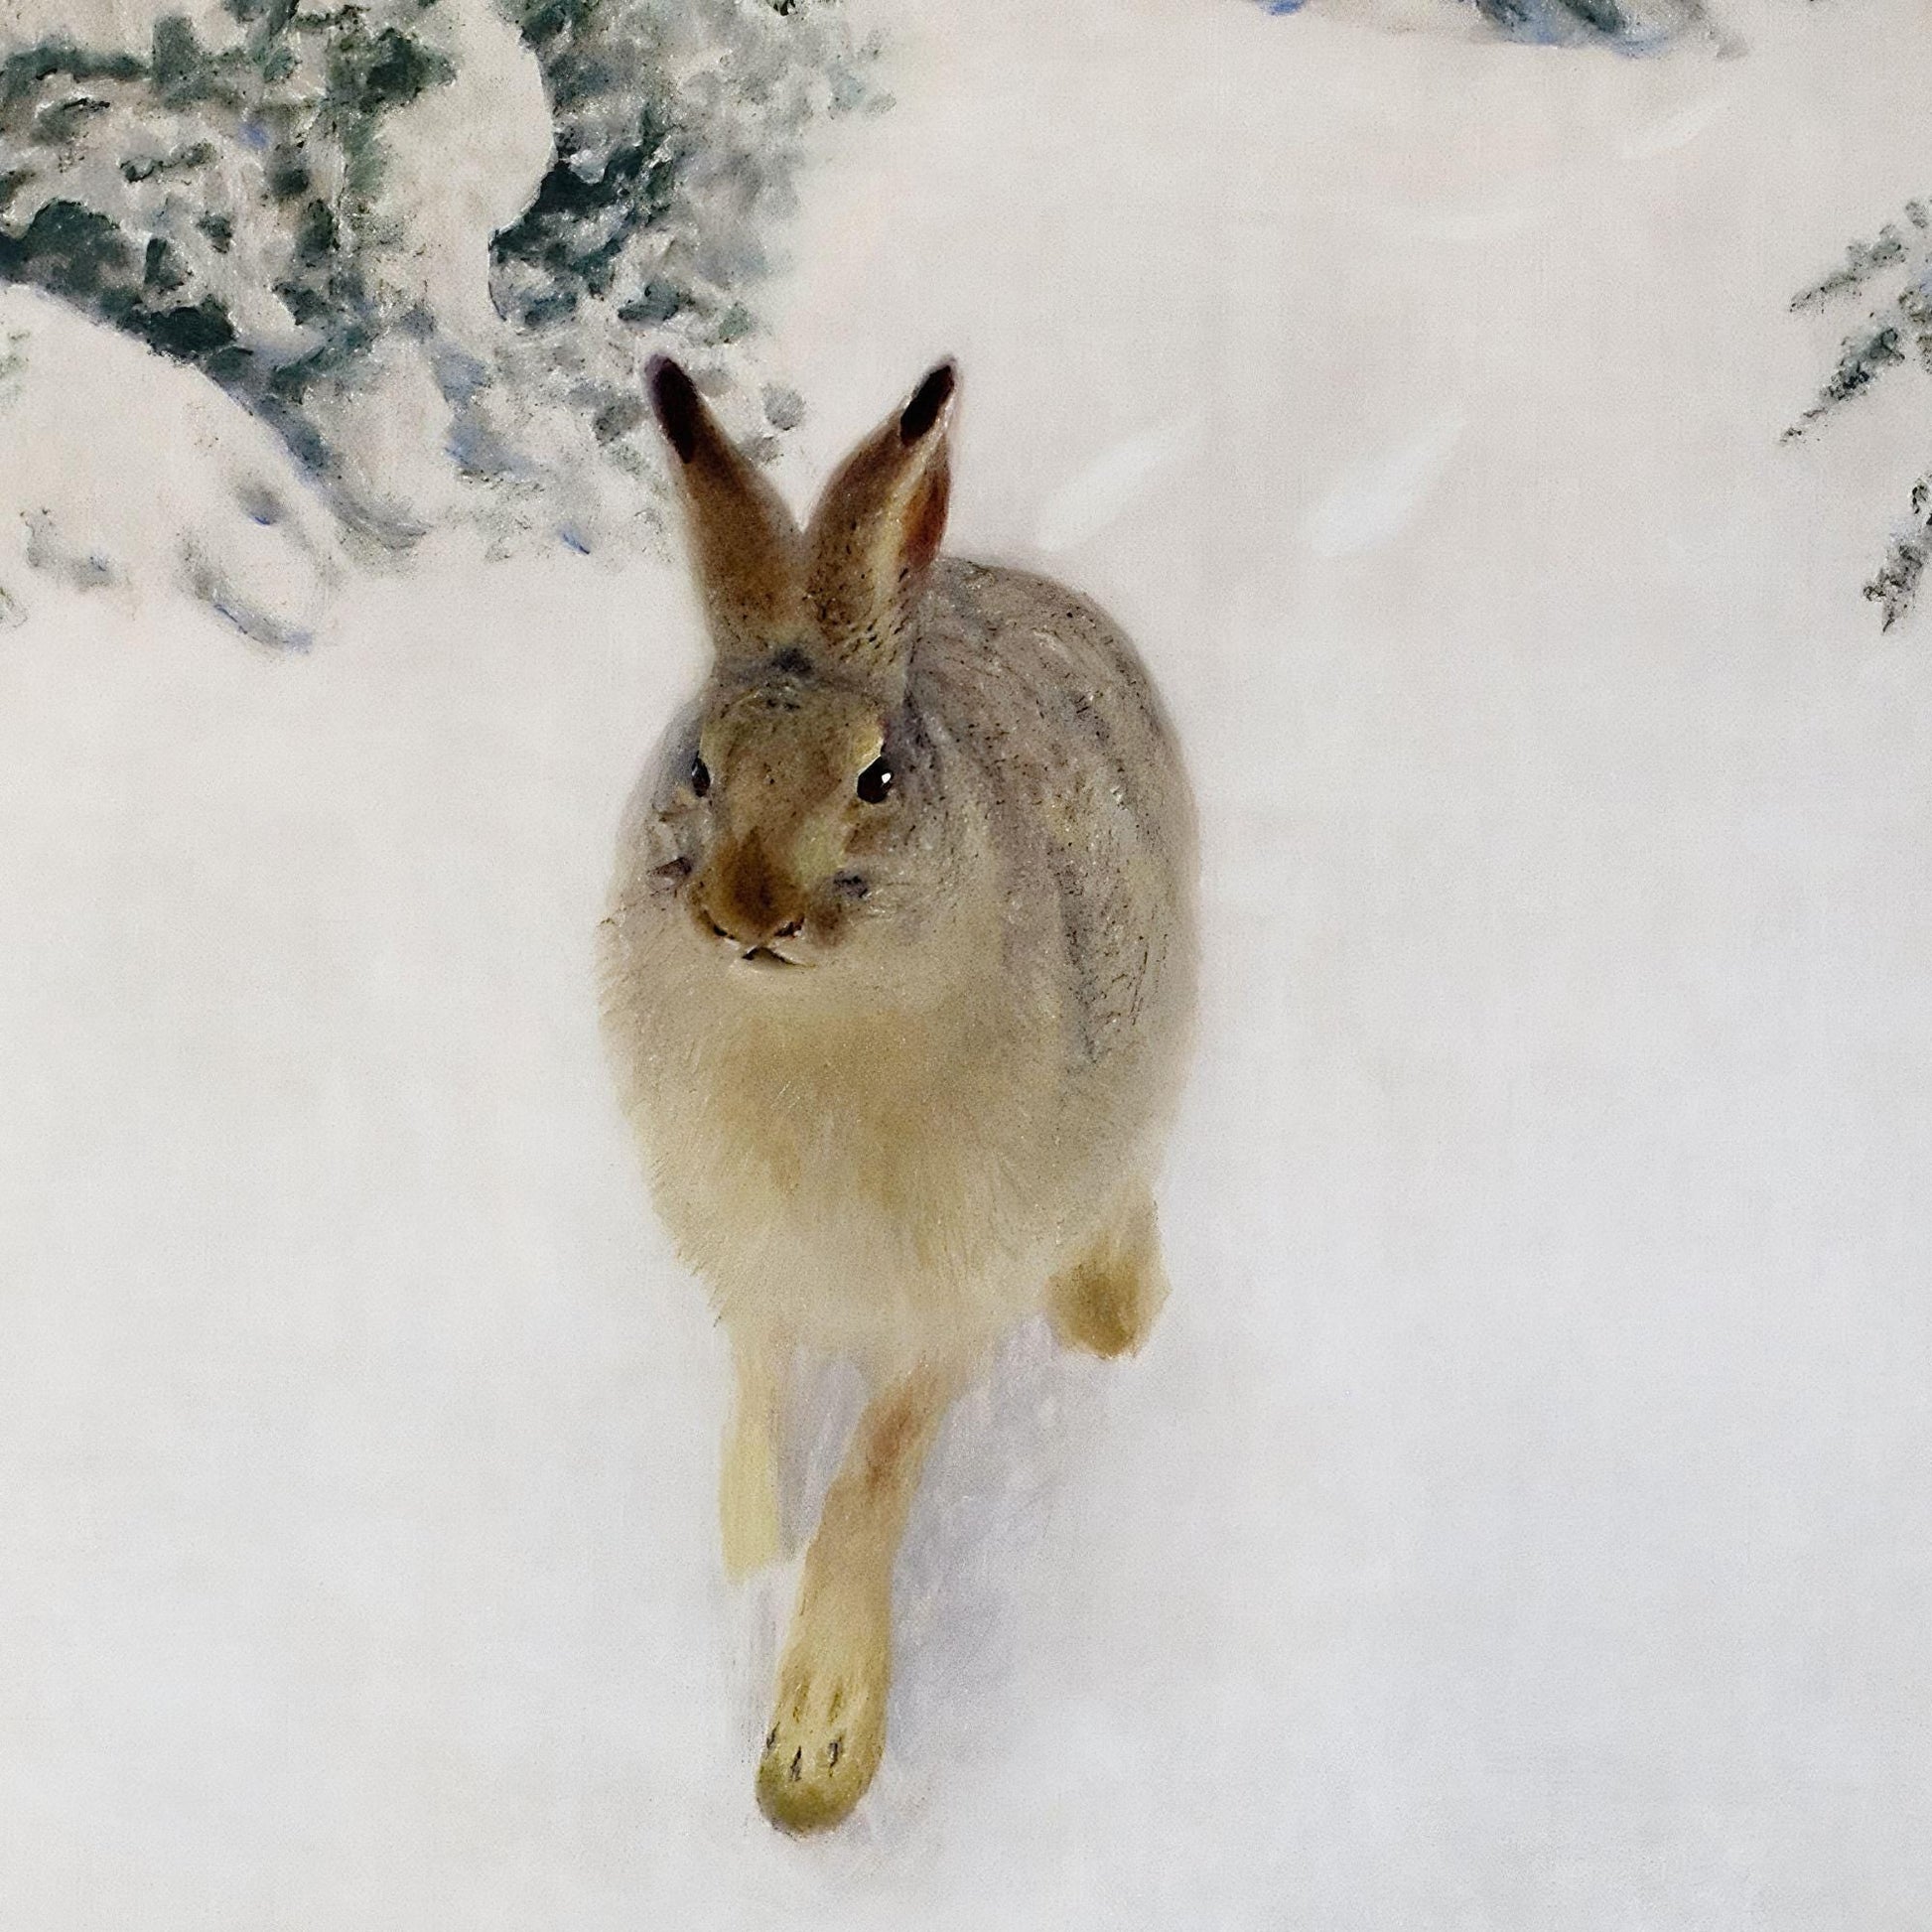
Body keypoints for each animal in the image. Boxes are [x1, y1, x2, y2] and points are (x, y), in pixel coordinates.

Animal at [597, 355, 1199, 1834]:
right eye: (697, 766)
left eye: (875, 776)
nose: (749, 907)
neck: (813, 1034)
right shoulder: (756, 1272)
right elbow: (758, 1420)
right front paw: (745, 1580)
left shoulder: (951, 1292)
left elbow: (873, 1473)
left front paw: (816, 1745)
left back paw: (1110, 1316)